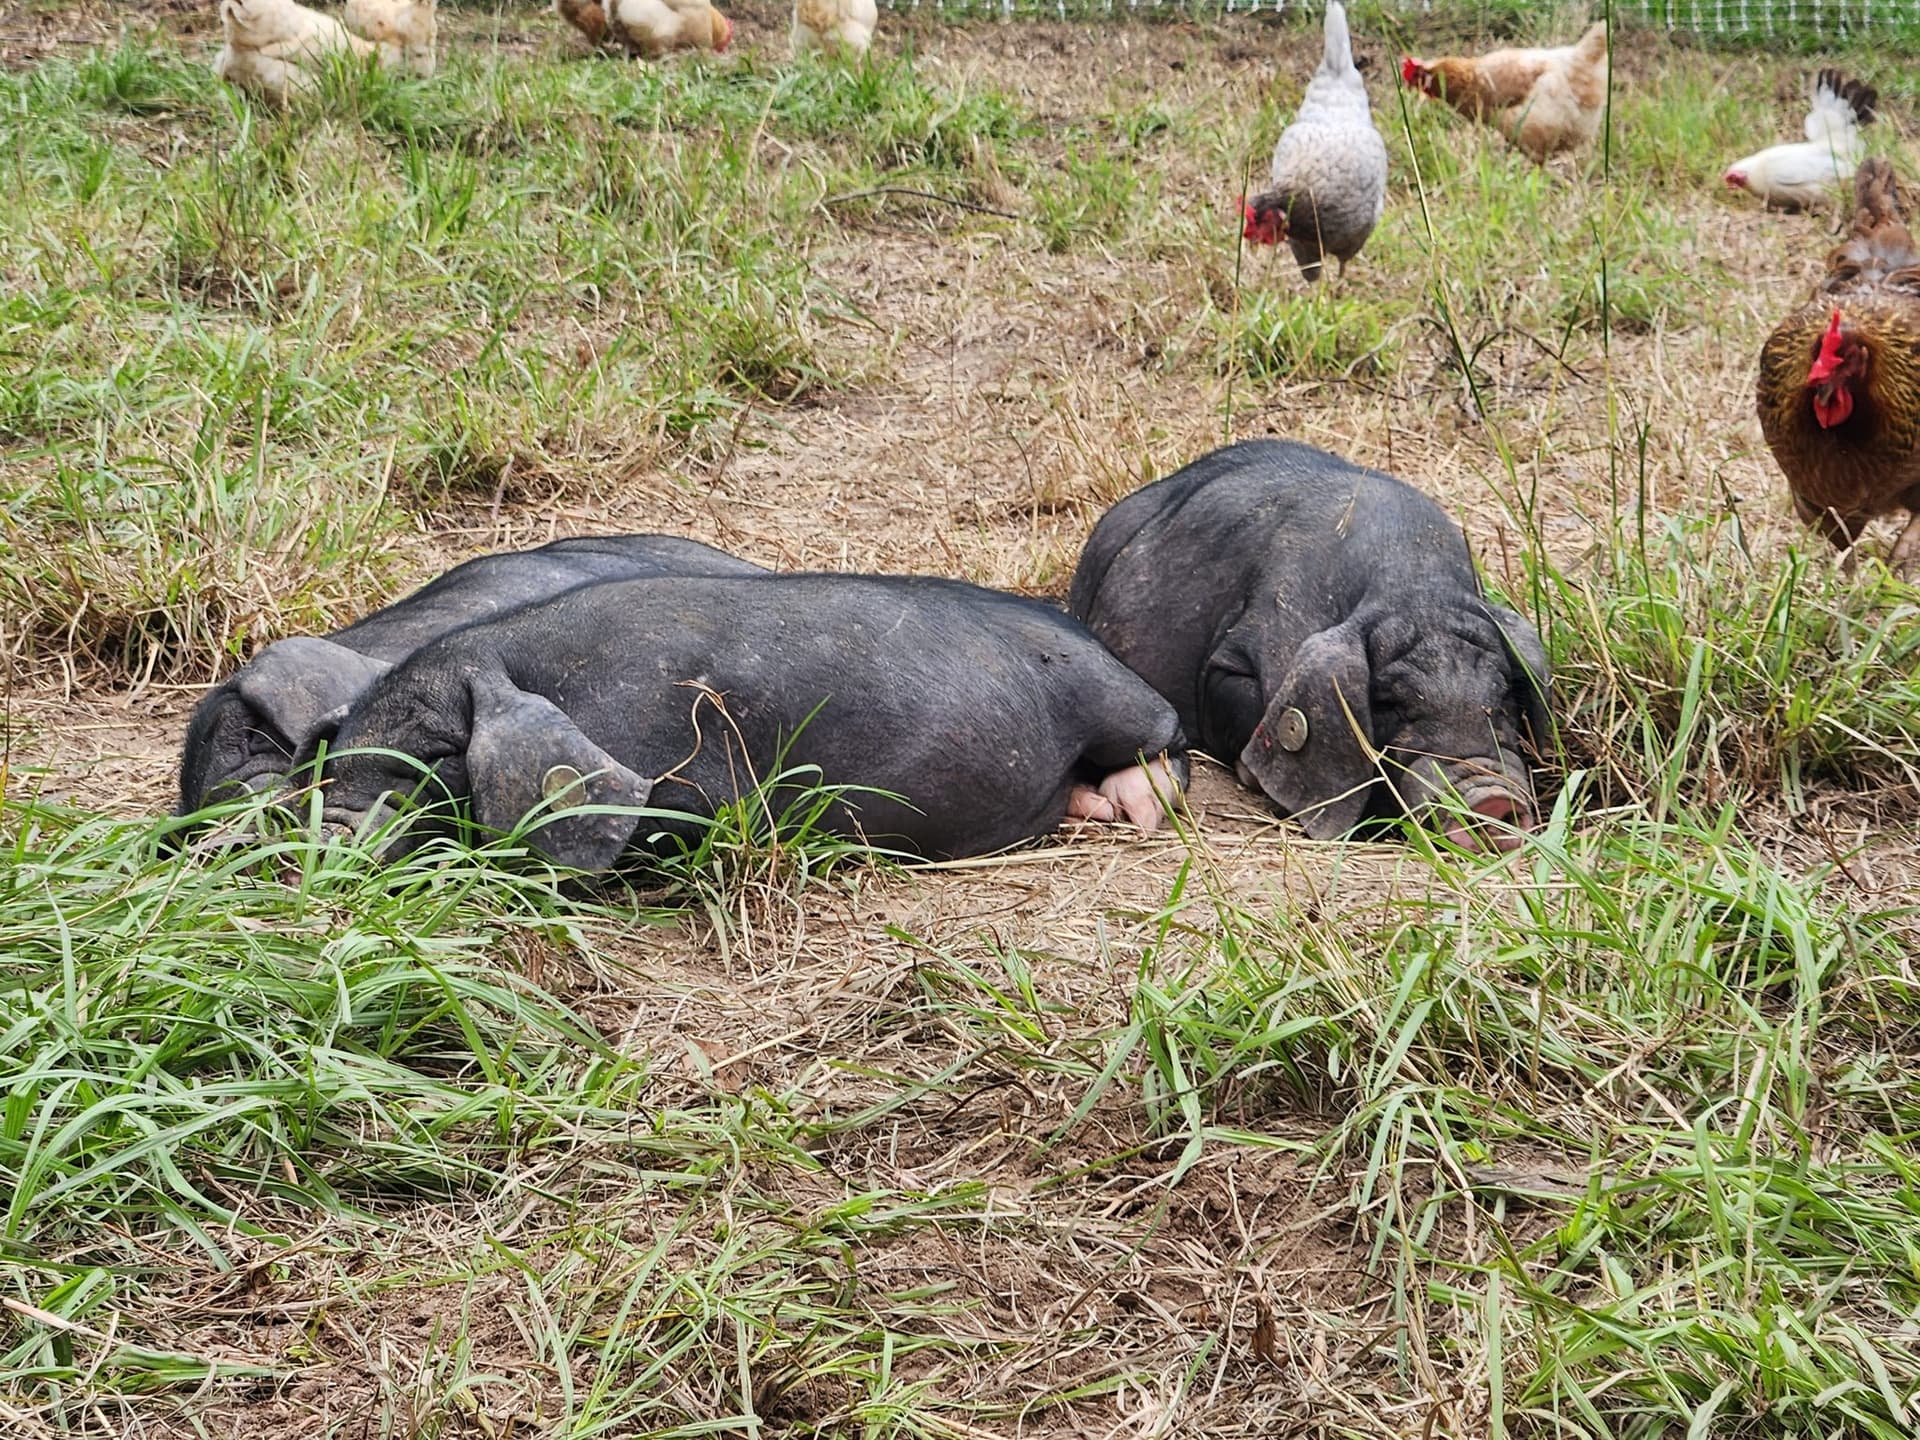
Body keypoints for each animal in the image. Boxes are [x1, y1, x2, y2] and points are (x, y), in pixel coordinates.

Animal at [312, 573, 1190, 869]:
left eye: (437, 750)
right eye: (343, 751)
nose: (329, 830)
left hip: (1122, 703)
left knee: (1168, 745)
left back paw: (1130, 810)